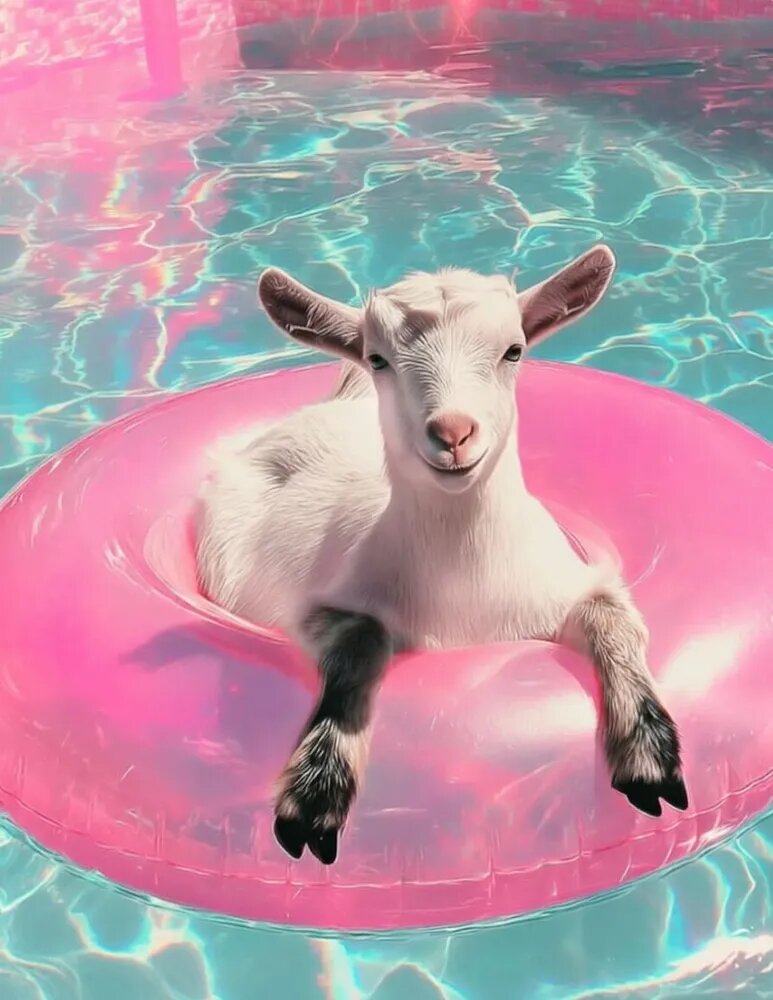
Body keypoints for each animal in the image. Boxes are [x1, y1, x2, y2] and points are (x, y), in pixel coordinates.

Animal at [196, 245, 688, 865]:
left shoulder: (564, 584)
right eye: (378, 358)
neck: (464, 590)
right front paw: (316, 790)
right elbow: (362, 639)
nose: (453, 433)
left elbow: (614, 617)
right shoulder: (310, 608)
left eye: (513, 349)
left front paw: (650, 756)